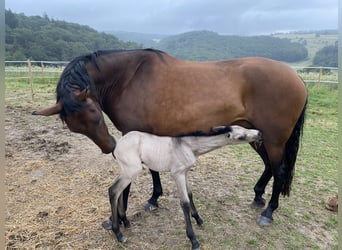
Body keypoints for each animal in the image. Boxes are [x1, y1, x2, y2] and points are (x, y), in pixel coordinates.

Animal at [32, 48, 308, 232]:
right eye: (76, 128)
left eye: (96, 115)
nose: (110, 147)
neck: (128, 78)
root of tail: (297, 78)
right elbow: (154, 168)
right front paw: (154, 198)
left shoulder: (134, 132)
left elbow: (132, 180)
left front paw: (119, 218)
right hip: (257, 136)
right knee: (269, 166)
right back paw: (258, 195)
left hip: (274, 140)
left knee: (279, 170)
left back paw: (268, 211)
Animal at [109, 125, 262, 250]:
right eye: (241, 137)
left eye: (245, 128)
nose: (259, 133)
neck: (187, 146)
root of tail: (117, 145)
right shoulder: (177, 174)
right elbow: (185, 203)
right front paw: (193, 240)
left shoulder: (185, 172)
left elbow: (190, 194)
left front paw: (198, 219)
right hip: (132, 170)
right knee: (113, 191)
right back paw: (119, 233)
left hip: (127, 171)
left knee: (119, 191)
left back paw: (125, 221)